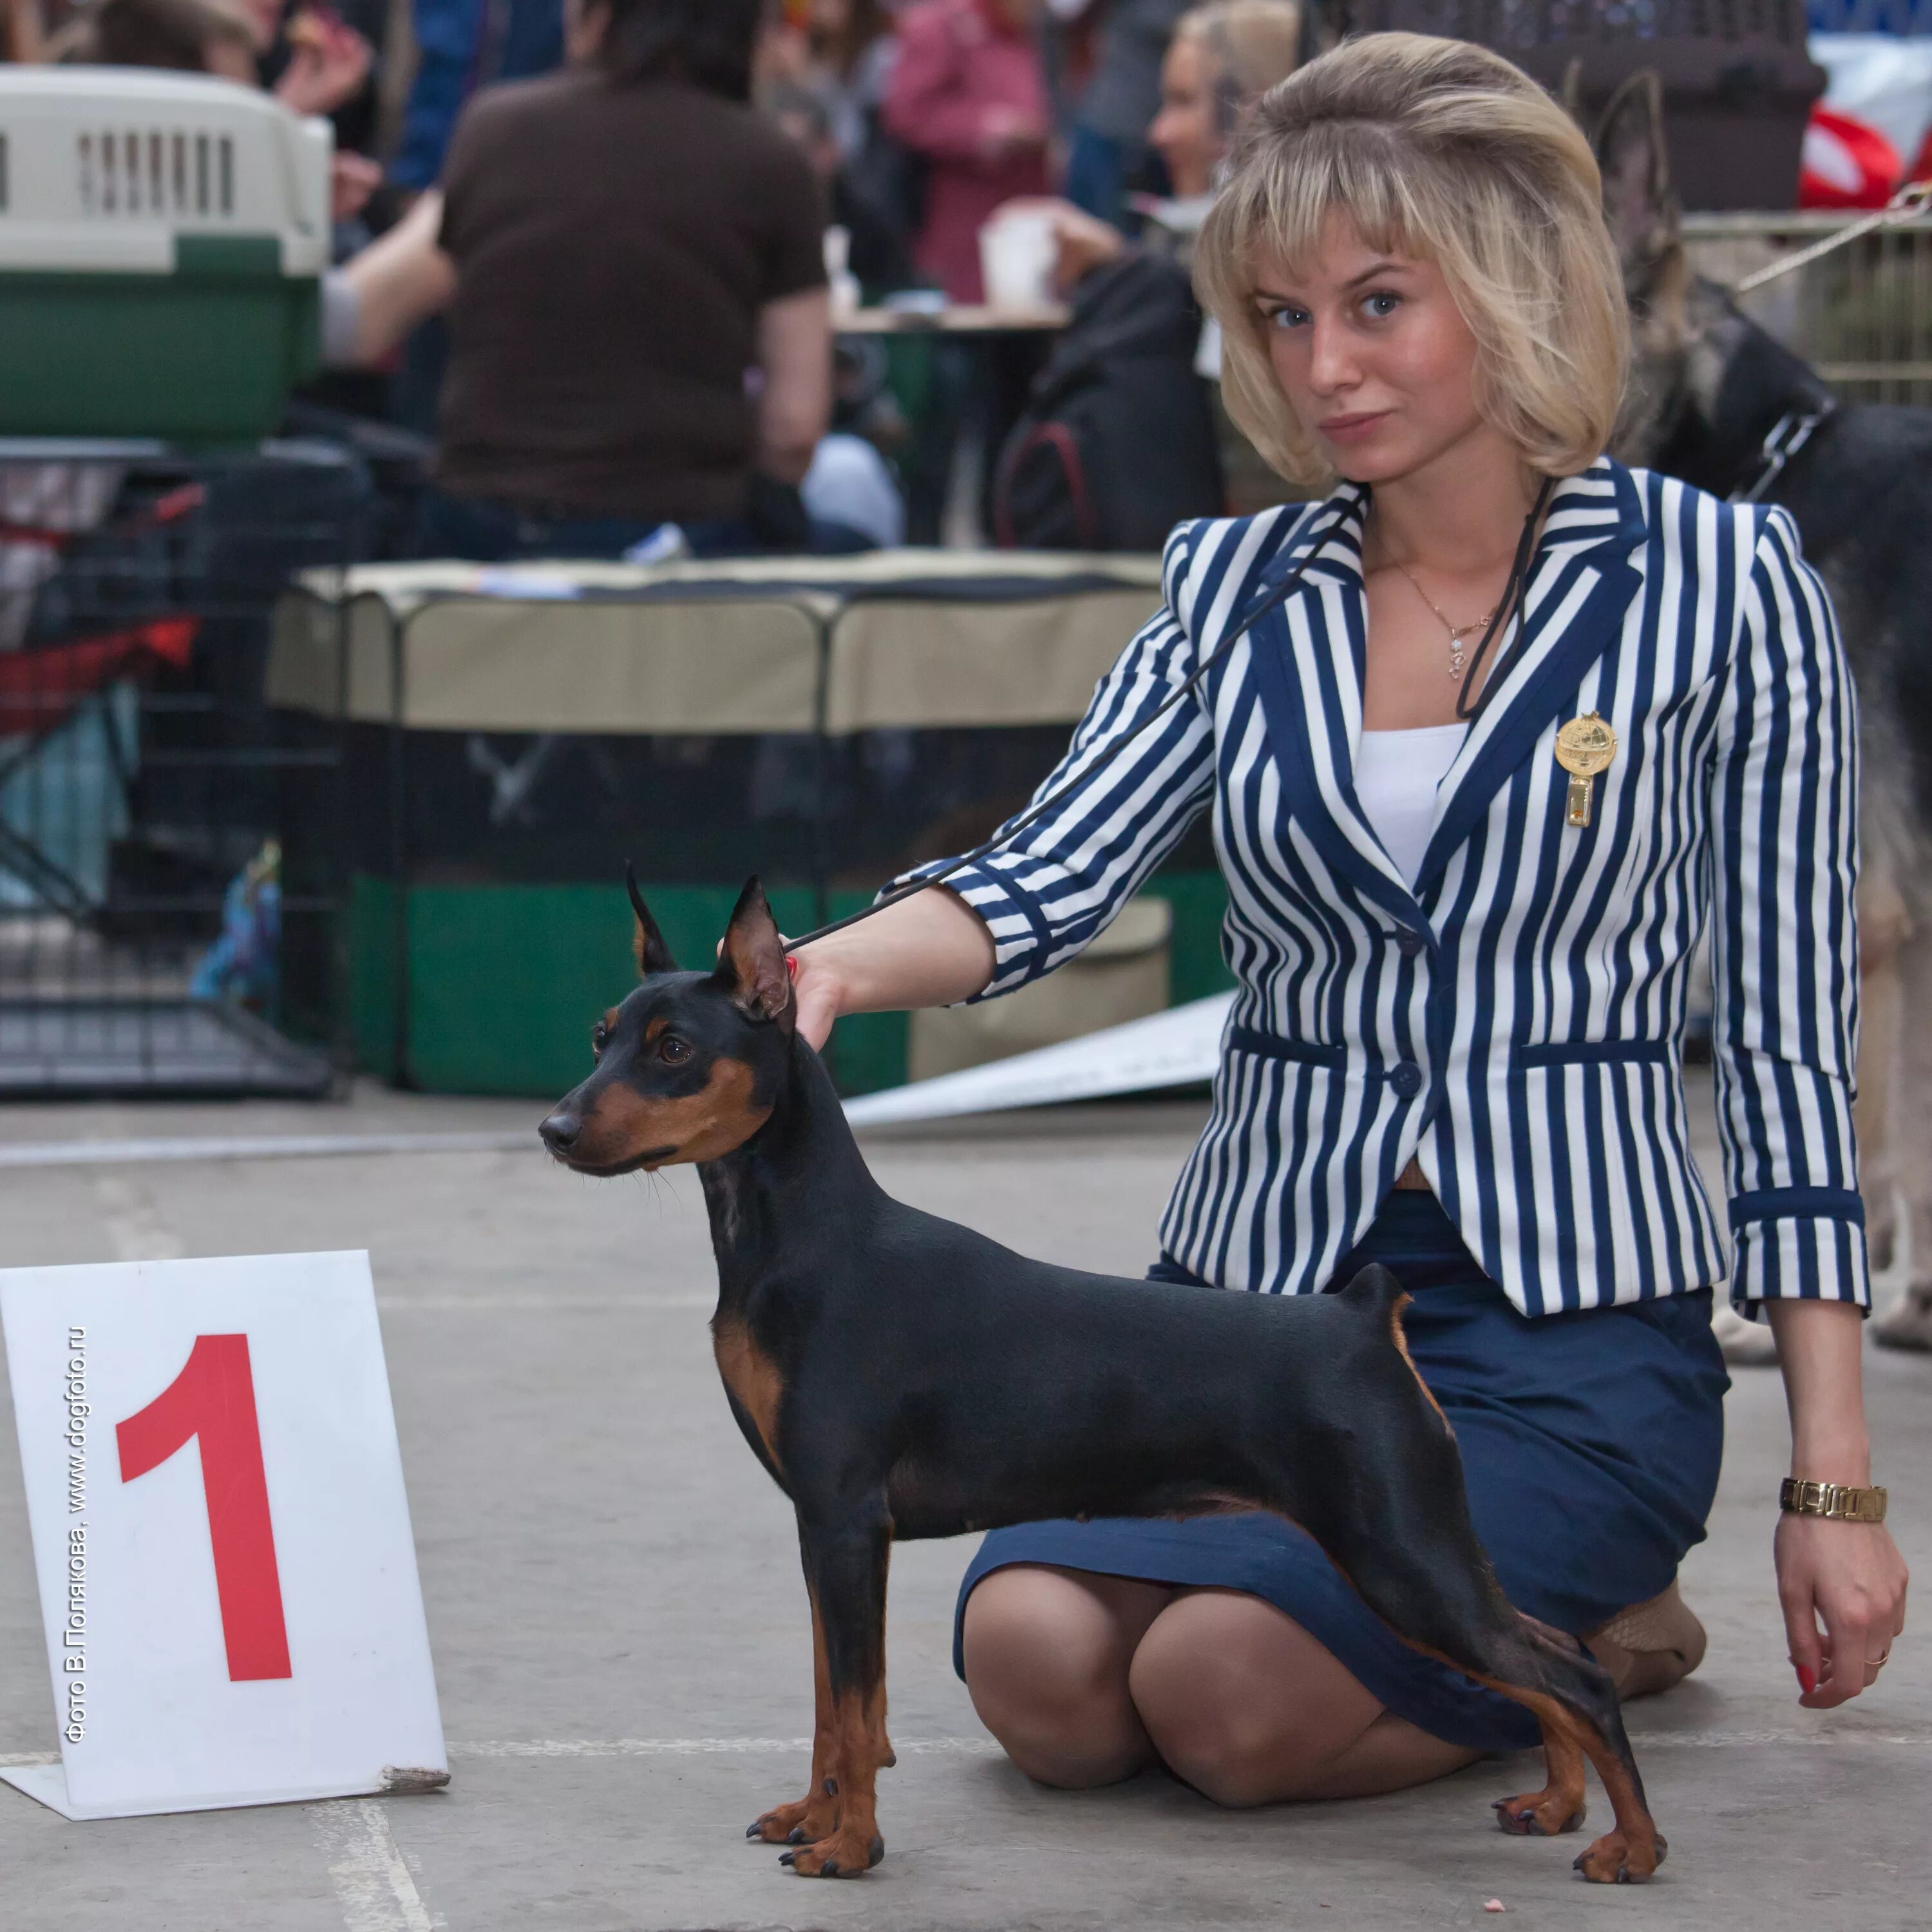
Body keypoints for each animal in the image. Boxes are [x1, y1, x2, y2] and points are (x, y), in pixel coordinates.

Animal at [541, 885, 1662, 1878]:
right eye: (600, 1037)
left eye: (673, 1049)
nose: (555, 1129)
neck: (803, 1241)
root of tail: (1362, 1318)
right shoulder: (824, 1532)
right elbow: (833, 1702)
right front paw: (810, 1818)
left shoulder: (848, 1521)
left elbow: (857, 1712)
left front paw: (850, 1849)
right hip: (1426, 1555)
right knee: (1549, 1650)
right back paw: (1558, 1801)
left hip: (1400, 1559)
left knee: (1572, 1675)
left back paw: (1632, 1848)